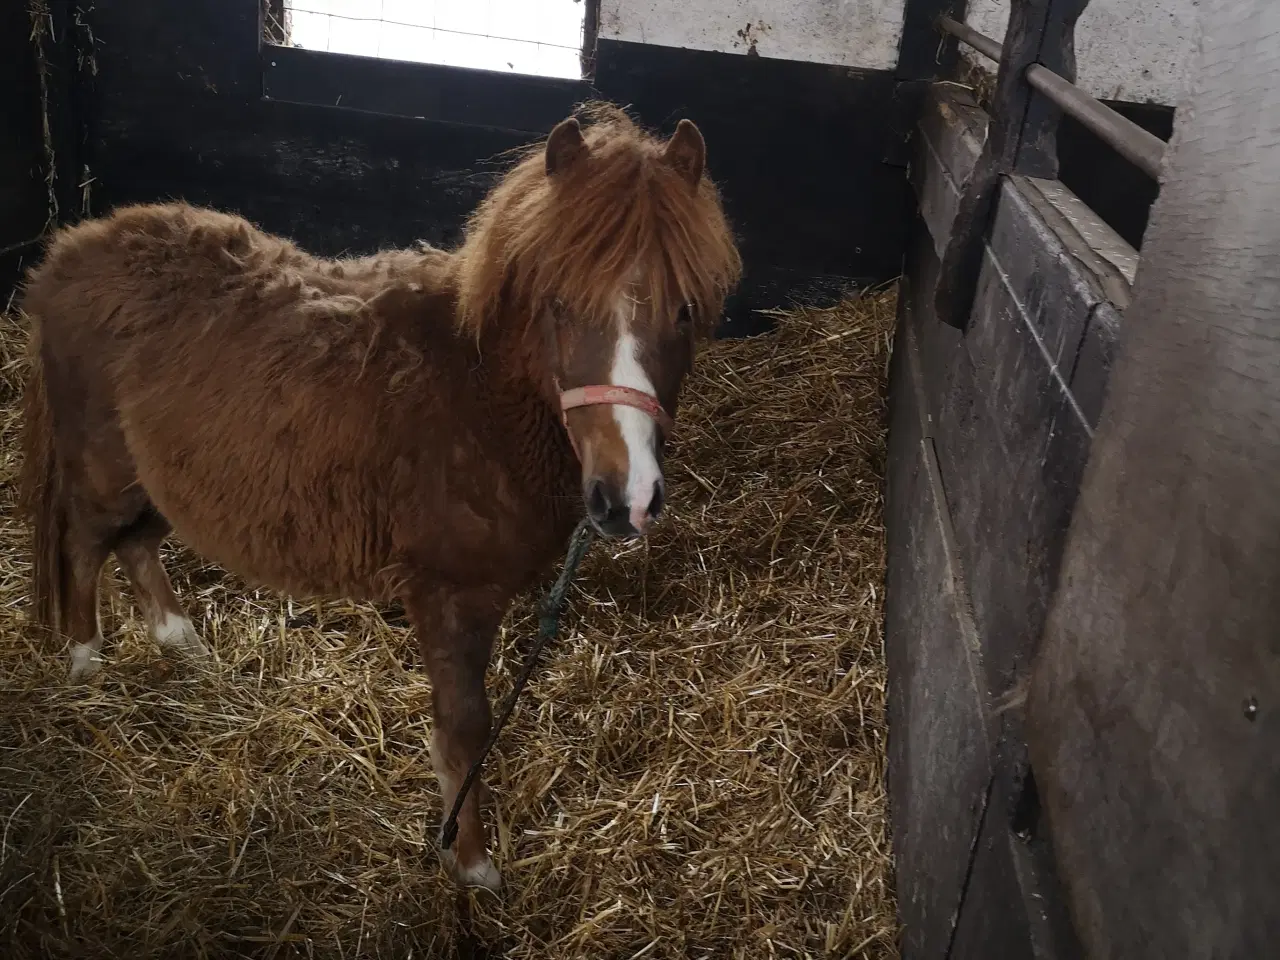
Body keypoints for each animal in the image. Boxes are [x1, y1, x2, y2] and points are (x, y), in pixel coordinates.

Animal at [16, 102, 742, 889]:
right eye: (558, 304)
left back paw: (186, 647)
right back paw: (85, 665)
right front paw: (471, 864)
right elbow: (465, 731)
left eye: (684, 312)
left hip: (158, 482)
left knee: (137, 546)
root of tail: (69, 250)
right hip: (104, 474)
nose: (625, 497)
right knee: (86, 545)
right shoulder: (450, 598)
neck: (478, 395)